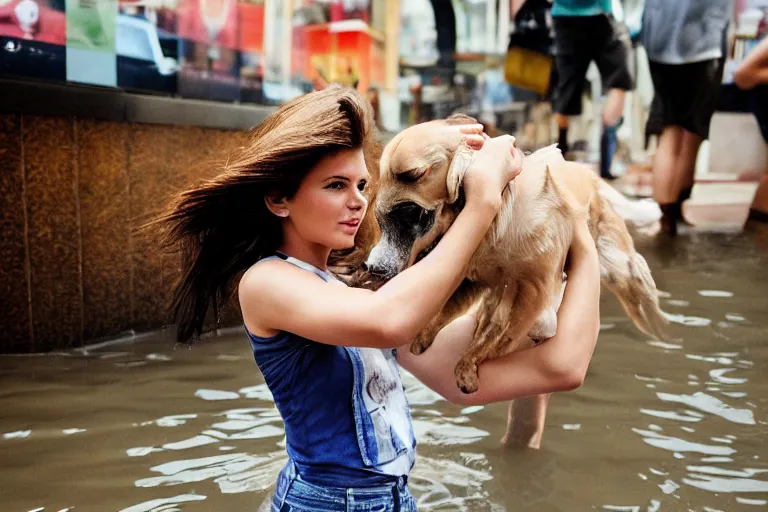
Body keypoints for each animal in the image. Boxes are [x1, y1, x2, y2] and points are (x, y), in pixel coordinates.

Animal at [360, 115, 664, 396]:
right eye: (379, 219)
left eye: (415, 175)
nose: (373, 267)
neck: (497, 223)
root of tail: (586, 173)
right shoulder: (474, 279)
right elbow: (451, 313)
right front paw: (424, 339)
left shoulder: (532, 289)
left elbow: (500, 336)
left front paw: (467, 366)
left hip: (616, 261)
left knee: (636, 275)